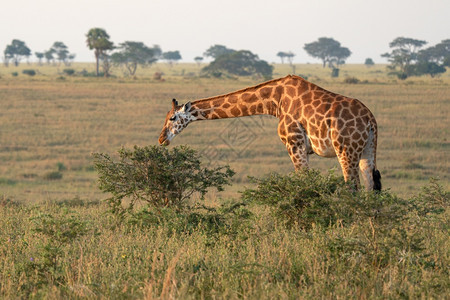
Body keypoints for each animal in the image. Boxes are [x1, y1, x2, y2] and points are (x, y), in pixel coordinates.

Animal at [156, 76, 382, 191]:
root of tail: (370, 120)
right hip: (367, 149)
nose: (161, 139)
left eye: (172, 118)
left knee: (353, 186)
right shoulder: (302, 148)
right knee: (371, 185)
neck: (275, 100)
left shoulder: (294, 144)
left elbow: (303, 181)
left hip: (346, 149)